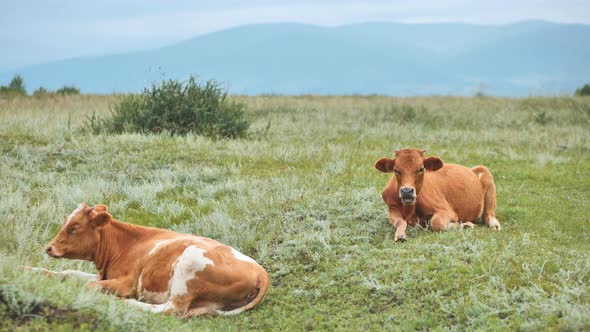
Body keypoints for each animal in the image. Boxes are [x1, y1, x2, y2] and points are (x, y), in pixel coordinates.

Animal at [31, 204, 270, 316]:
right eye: (66, 222)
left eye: (75, 227)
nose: (49, 248)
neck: (123, 245)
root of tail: (261, 271)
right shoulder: (103, 276)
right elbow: (68, 274)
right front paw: (30, 270)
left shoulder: (126, 283)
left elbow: (89, 286)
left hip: (188, 264)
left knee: (169, 309)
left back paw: (123, 303)